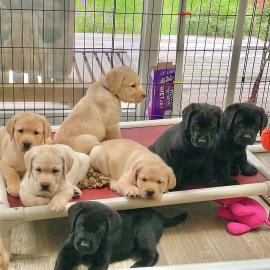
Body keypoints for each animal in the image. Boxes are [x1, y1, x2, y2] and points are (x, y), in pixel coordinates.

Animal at [53, 201, 187, 268]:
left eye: (99, 230)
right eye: (81, 226)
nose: (84, 245)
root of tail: (159, 215)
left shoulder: (101, 260)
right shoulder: (66, 252)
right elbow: (60, 266)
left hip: (143, 236)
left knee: (152, 255)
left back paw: (137, 266)